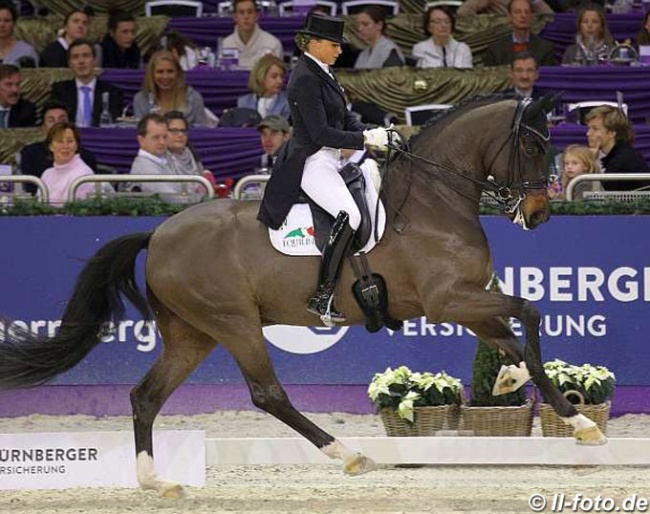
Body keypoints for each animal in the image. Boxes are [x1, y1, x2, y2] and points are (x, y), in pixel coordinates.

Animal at [0, 93, 604, 496]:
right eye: (532, 145)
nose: (538, 214)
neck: (435, 197)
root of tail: (158, 231)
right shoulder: (449, 299)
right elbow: (531, 314)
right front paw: (581, 422)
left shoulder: (467, 299)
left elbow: (515, 341)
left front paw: (519, 388)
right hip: (235, 323)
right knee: (268, 395)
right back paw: (350, 455)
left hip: (193, 333)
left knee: (146, 396)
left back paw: (156, 482)